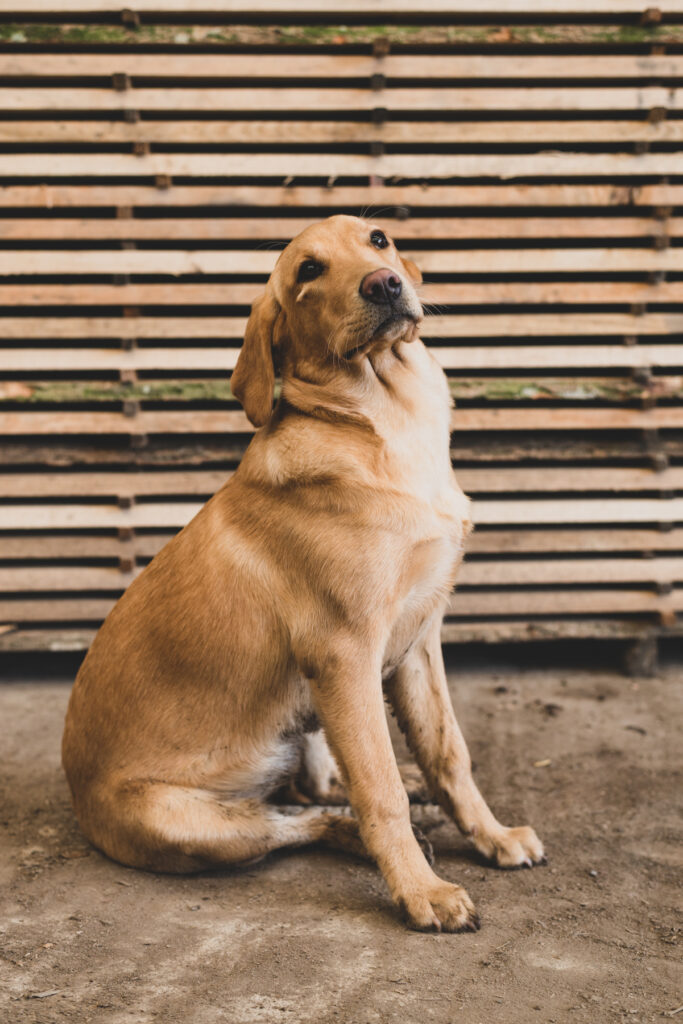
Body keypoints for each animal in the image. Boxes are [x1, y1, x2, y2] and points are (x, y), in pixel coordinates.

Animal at [62, 218, 544, 937]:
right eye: (307, 272)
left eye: (379, 238)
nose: (385, 284)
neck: (385, 424)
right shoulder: (344, 653)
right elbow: (378, 793)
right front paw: (422, 892)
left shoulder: (418, 641)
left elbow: (447, 753)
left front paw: (492, 837)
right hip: (191, 824)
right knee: (291, 820)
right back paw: (362, 836)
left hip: (310, 716)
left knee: (310, 789)